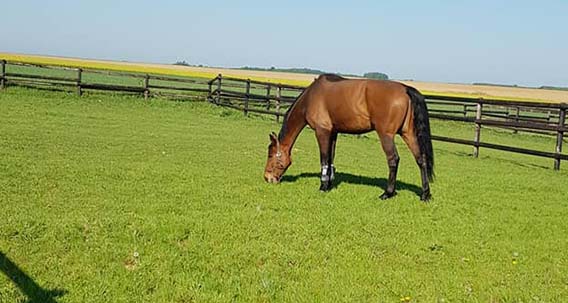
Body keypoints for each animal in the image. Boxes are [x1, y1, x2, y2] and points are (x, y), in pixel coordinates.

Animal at [262, 73, 434, 202]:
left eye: (270, 155)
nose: (267, 177)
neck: (311, 97)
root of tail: (405, 89)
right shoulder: (333, 133)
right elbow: (331, 158)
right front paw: (329, 183)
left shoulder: (322, 131)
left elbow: (324, 159)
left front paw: (323, 186)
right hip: (408, 134)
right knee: (421, 159)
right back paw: (425, 194)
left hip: (386, 135)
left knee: (393, 160)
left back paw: (387, 193)